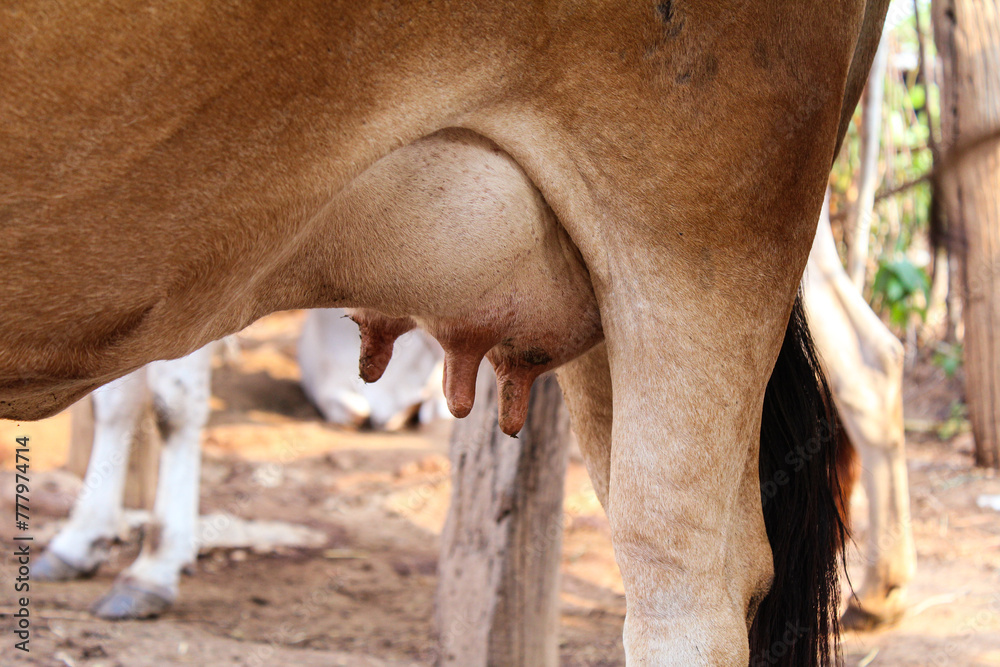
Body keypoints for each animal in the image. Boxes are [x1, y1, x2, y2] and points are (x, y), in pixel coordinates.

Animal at [1, 2, 891, 664]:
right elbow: (121, 401)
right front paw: (83, 538)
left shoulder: (200, 260)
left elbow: (172, 398)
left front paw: (153, 567)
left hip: (700, 232)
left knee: (685, 577)